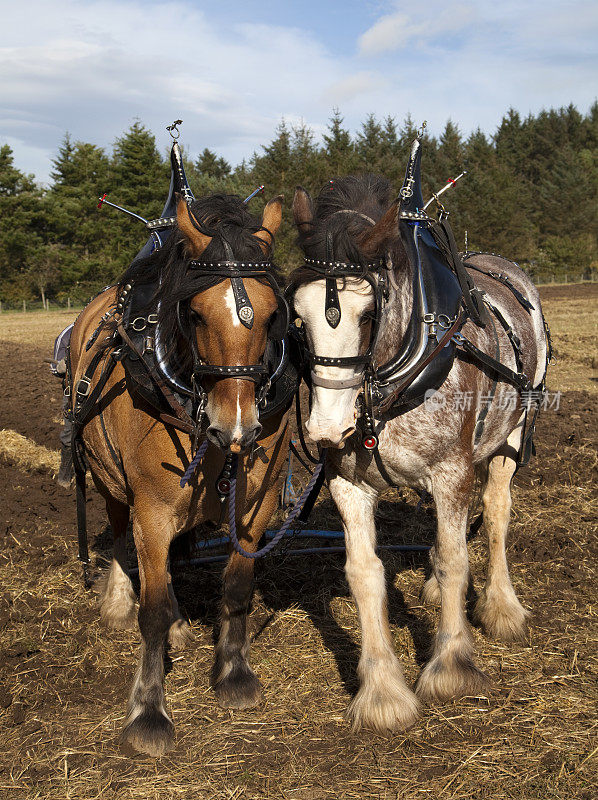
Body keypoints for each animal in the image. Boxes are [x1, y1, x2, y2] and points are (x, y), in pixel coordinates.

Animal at [68, 191, 292, 752]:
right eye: (193, 313)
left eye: (273, 314)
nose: (236, 428)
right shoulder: (152, 510)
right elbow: (151, 611)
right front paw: (148, 710)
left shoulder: (256, 506)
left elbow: (236, 588)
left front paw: (233, 673)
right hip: (109, 481)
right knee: (124, 536)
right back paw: (119, 600)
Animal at [292, 142, 552, 732]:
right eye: (296, 317)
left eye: (369, 314)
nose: (325, 429)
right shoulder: (347, 482)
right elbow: (365, 573)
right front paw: (383, 691)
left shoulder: (453, 470)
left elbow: (459, 558)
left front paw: (452, 665)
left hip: (509, 436)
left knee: (495, 513)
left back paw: (501, 606)